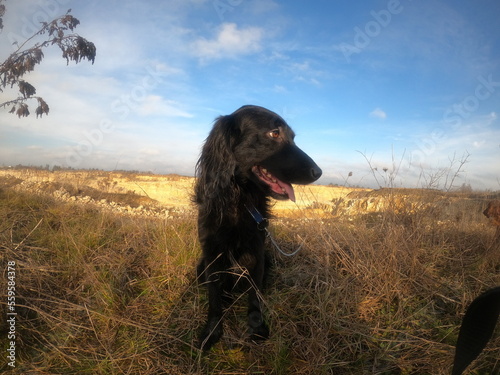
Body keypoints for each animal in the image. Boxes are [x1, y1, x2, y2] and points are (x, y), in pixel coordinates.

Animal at [194, 104, 320, 352]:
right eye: (274, 133)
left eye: (293, 137)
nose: (318, 172)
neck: (241, 198)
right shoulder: (212, 253)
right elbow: (214, 297)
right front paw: (212, 331)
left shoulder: (257, 250)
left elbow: (254, 294)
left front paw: (256, 327)